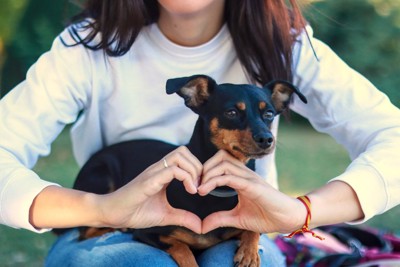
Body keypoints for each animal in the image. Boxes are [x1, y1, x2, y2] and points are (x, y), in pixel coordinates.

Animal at [60, 74, 306, 266]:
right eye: (231, 112)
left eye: (269, 114)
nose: (267, 139)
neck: (217, 189)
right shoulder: (150, 232)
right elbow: (182, 248)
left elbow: (252, 228)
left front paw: (248, 253)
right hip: (102, 176)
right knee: (85, 231)